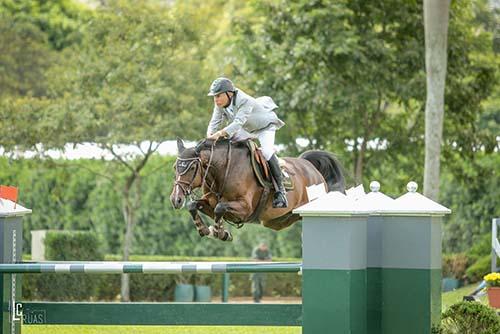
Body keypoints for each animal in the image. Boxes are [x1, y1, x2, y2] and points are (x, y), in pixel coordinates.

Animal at [170, 137, 346, 241]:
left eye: (192, 167)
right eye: (175, 167)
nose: (175, 199)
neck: (223, 171)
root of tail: (310, 166)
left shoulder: (245, 208)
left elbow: (220, 208)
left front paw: (220, 232)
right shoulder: (210, 202)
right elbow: (193, 205)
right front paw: (206, 230)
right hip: (276, 220)